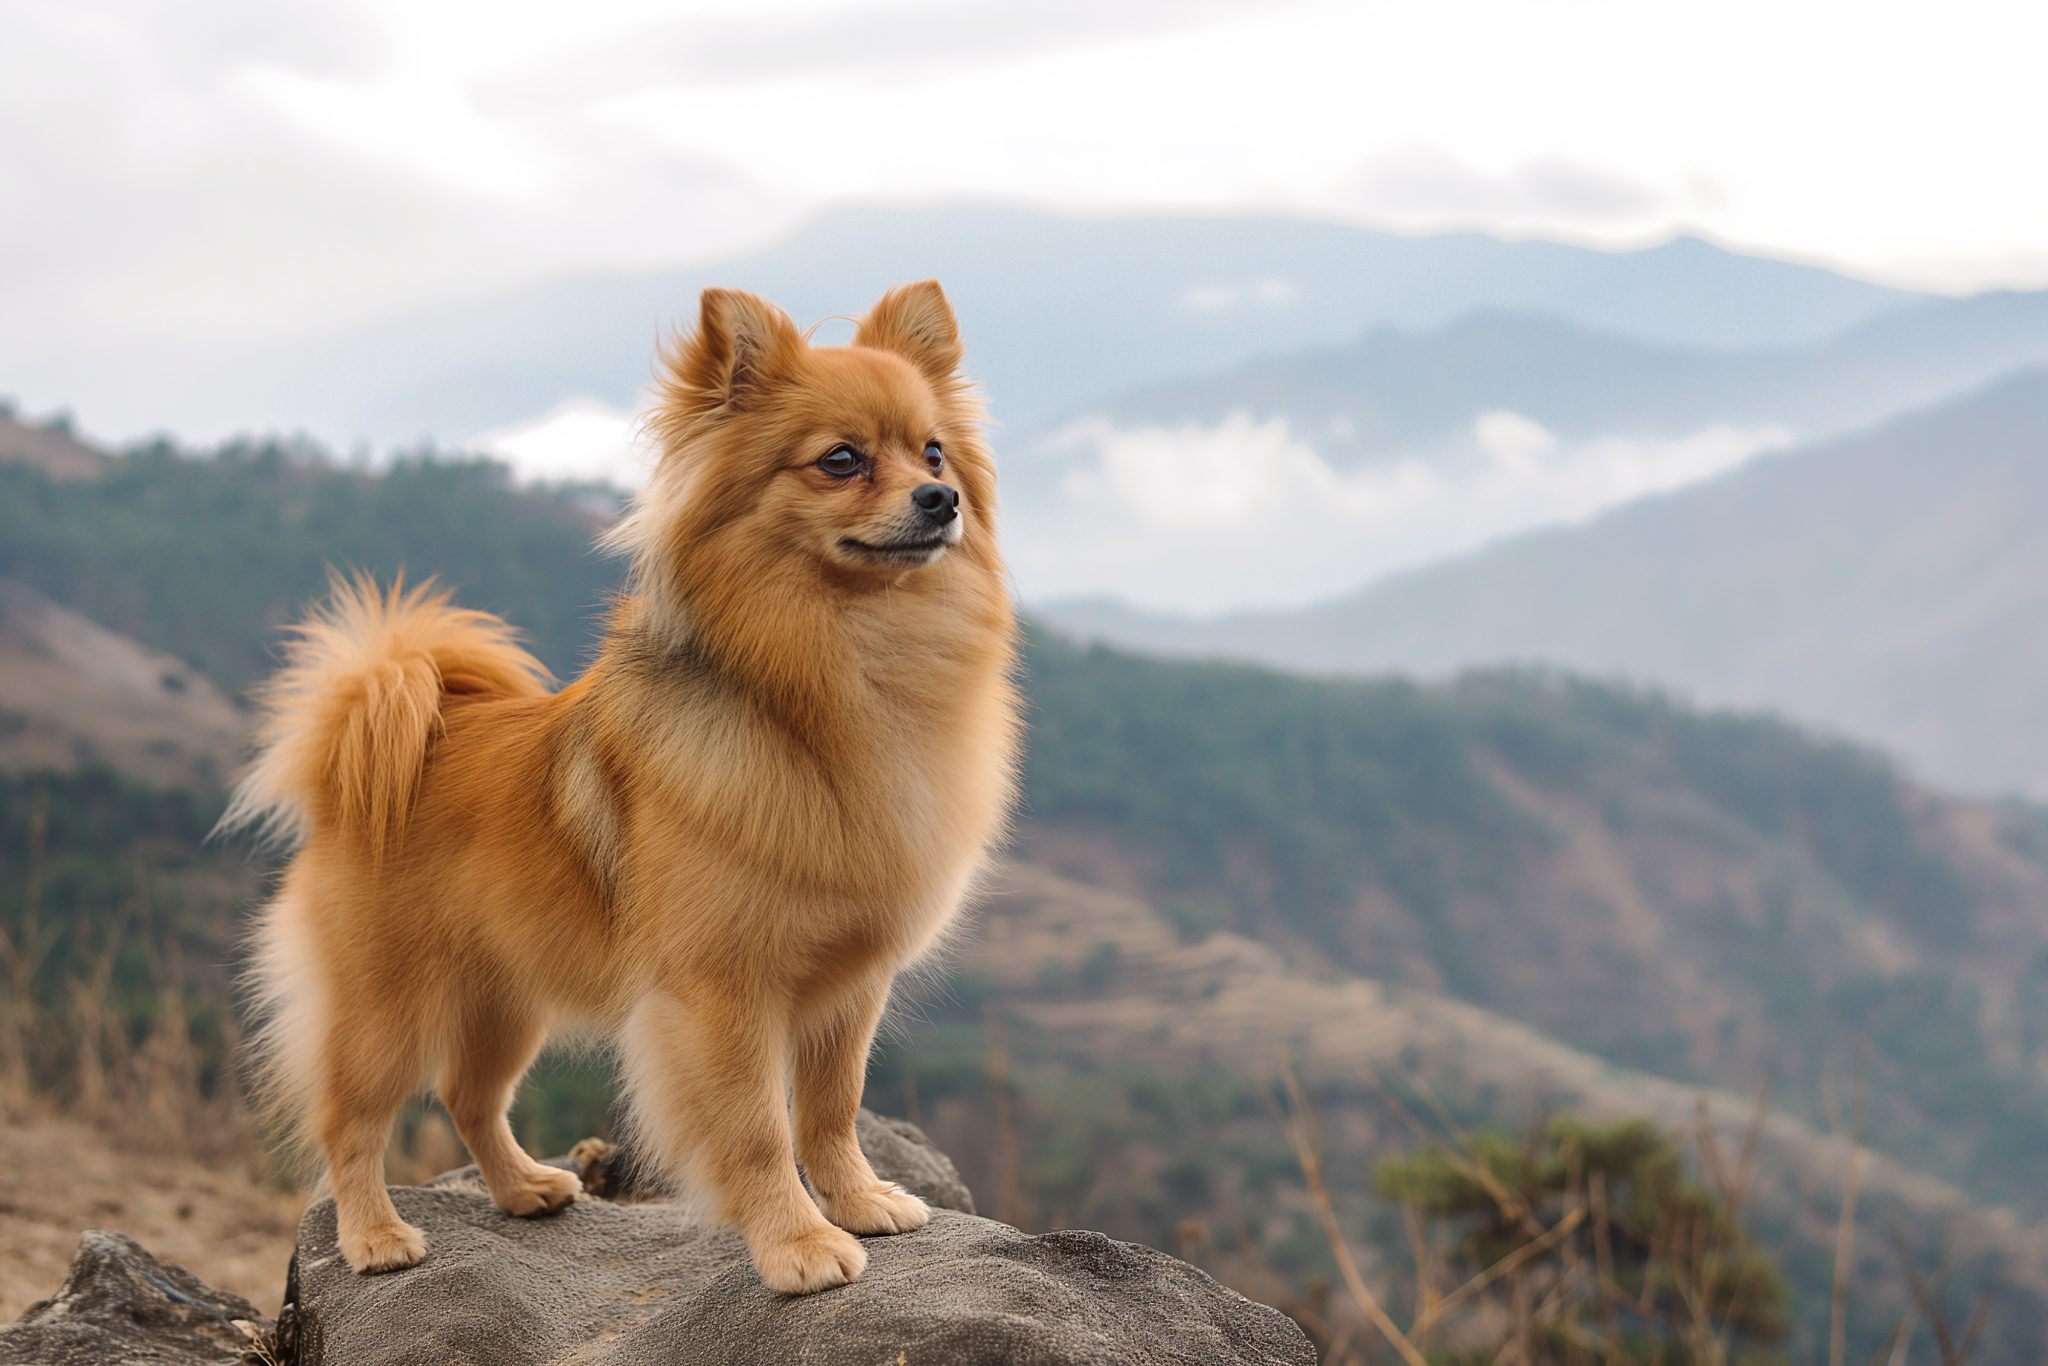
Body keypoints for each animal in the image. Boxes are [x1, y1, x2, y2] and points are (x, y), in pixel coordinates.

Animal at [220, 280, 1019, 1294]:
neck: (844, 669)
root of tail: (372, 745)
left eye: (934, 451)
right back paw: (373, 1236)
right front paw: (796, 1245)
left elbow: (831, 1110)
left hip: (502, 1000)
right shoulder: (722, 997)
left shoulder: (849, 988)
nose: (941, 498)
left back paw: (524, 1187)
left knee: (469, 1095)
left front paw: (859, 1201)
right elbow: (759, 1131)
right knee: (351, 1121)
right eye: (841, 460)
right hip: (388, 1008)